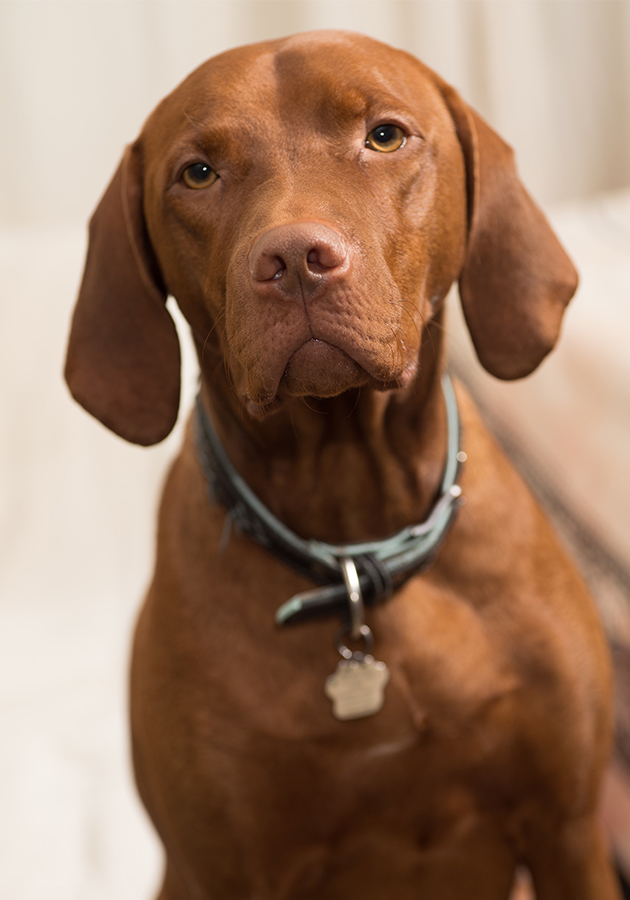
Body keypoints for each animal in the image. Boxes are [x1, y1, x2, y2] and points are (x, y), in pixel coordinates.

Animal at [66, 29, 620, 900]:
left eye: (385, 136)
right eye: (198, 173)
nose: (294, 257)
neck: (358, 534)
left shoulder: (569, 833)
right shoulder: (230, 871)